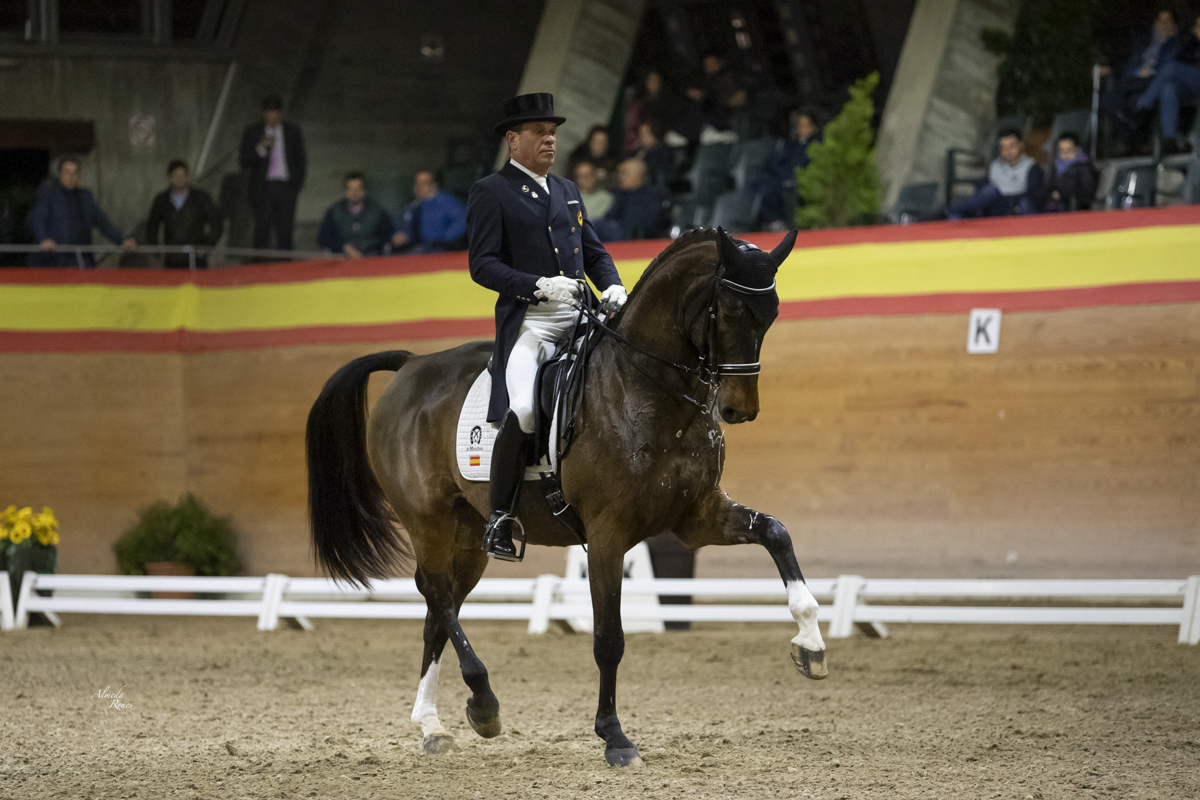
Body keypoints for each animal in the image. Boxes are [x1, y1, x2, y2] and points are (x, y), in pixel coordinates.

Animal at [307, 226, 825, 767]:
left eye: (771, 314)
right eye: (727, 311)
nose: (739, 410)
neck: (647, 389)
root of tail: (411, 365)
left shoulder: (697, 515)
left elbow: (776, 532)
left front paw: (810, 641)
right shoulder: (607, 535)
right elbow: (608, 639)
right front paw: (614, 737)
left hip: (469, 534)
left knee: (439, 608)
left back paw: (433, 725)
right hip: (428, 518)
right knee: (434, 592)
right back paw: (483, 701)